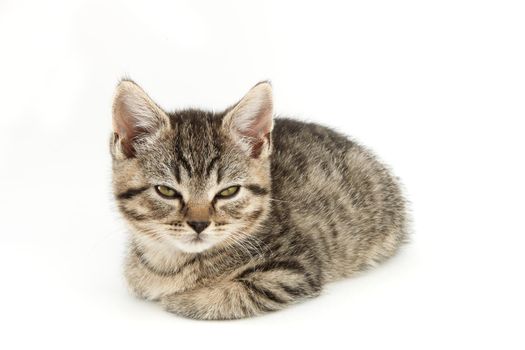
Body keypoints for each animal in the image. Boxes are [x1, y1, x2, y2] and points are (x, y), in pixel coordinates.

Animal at [109, 79, 406, 320]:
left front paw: (181, 299)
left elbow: (229, 295)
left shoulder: (293, 270)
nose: (199, 224)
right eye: (167, 191)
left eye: (228, 192)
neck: (170, 261)